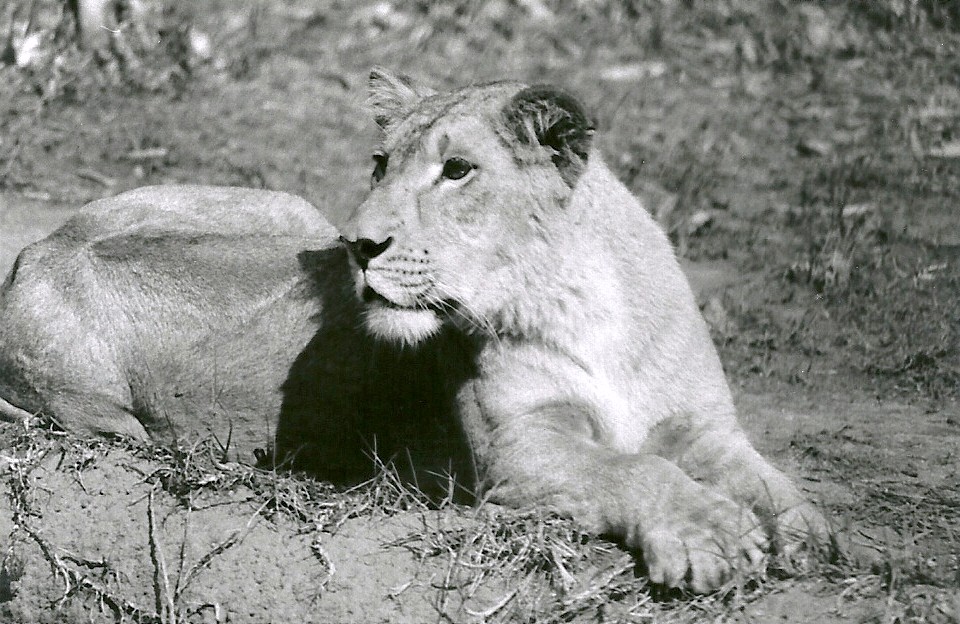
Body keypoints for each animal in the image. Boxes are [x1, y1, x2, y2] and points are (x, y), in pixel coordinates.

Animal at [0, 68, 830, 592]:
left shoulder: (703, 425)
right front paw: (711, 535)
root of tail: (39, 248)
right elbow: (633, 469)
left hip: (289, 211)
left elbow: (765, 480)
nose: (357, 244)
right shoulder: (514, 457)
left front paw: (809, 535)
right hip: (112, 420)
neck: (583, 301)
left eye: (457, 170)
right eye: (379, 164)